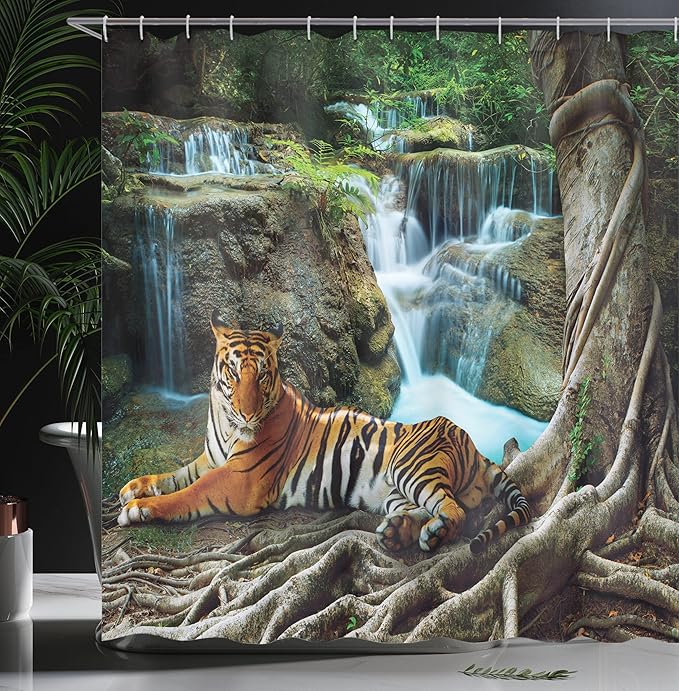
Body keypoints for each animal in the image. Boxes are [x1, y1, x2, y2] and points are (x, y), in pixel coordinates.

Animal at [117, 310, 531, 553]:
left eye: (262, 375)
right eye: (234, 372)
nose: (247, 413)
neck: (224, 419)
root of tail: (472, 443)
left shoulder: (240, 479)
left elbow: (189, 493)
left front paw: (140, 509)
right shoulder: (211, 459)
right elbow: (174, 476)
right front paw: (134, 488)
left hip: (412, 468)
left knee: (455, 511)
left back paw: (431, 535)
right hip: (394, 492)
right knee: (428, 509)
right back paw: (399, 533)